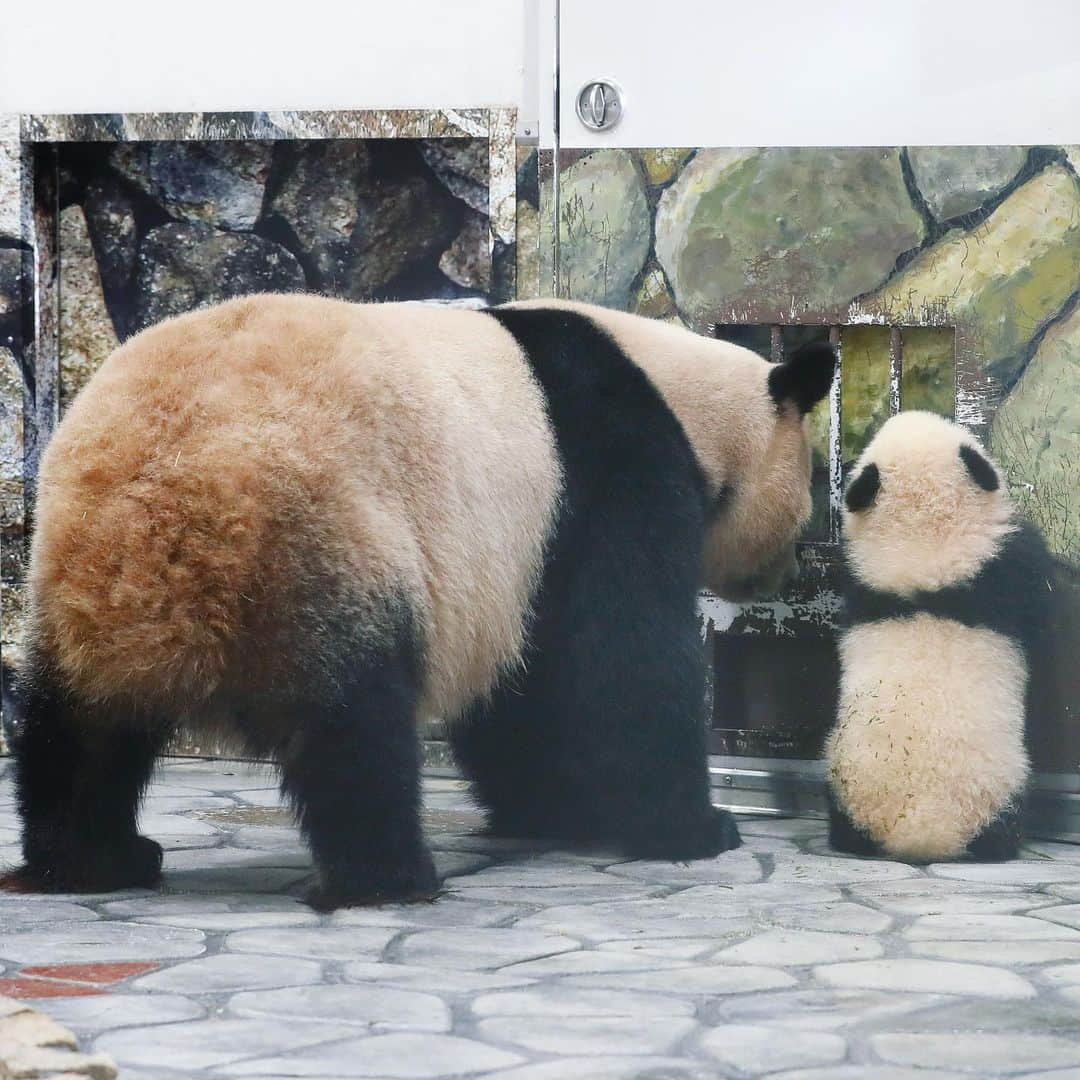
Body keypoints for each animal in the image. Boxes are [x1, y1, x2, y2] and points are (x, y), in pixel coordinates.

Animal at [4, 291, 833, 907]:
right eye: (812, 480)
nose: (784, 570)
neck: (679, 390)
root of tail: (171, 502)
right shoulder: (607, 470)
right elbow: (618, 657)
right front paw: (693, 828)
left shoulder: (515, 562)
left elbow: (523, 685)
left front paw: (552, 808)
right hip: (320, 538)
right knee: (352, 723)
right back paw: (389, 875)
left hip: (85, 579)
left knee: (78, 728)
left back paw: (92, 857)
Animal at [825, 410, 1071, 859]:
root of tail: (922, 828)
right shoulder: (1003, 566)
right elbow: (1040, 597)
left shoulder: (859, 581)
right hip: (997, 786)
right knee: (1004, 824)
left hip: (843, 780)